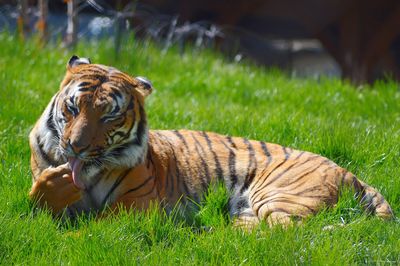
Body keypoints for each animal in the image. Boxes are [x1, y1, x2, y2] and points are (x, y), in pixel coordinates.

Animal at [28, 55, 394, 228]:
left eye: (109, 116)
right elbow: (36, 203)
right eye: (73, 108)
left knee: (290, 234)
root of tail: (351, 173)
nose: (76, 147)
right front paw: (55, 185)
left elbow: (93, 228)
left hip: (279, 195)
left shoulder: (137, 208)